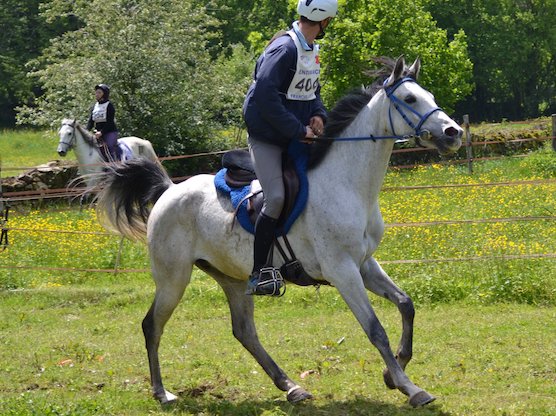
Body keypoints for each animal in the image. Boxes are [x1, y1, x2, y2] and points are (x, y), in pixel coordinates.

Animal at [96, 57, 464, 408]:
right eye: (410, 99)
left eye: (431, 96)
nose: (453, 132)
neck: (347, 184)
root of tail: (169, 190)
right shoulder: (342, 270)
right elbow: (375, 330)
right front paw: (409, 387)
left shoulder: (363, 264)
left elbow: (405, 304)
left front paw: (395, 369)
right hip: (173, 279)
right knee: (152, 326)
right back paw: (162, 392)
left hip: (232, 277)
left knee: (244, 332)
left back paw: (291, 387)